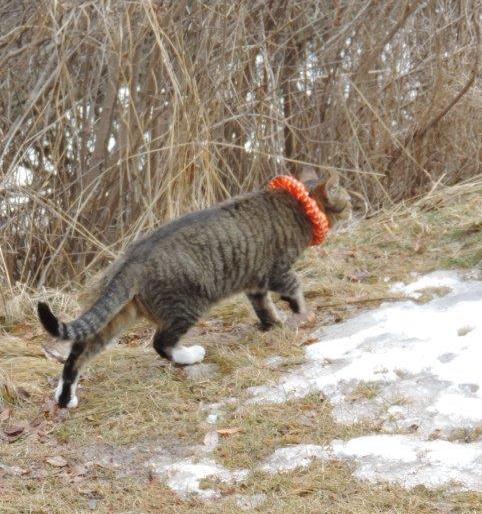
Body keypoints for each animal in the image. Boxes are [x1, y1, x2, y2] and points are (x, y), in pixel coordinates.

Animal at [36, 170, 350, 406]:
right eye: (347, 197)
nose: (354, 205)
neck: (298, 205)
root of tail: (133, 258)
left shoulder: (255, 283)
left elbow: (264, 308)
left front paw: (273, 324)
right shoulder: (277, 272)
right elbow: (295, 290)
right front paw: (300, 315)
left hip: (118, 316)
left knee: (79, 351)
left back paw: (65, 397)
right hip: (188, 304)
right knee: (161, 343)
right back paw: (190, 355)